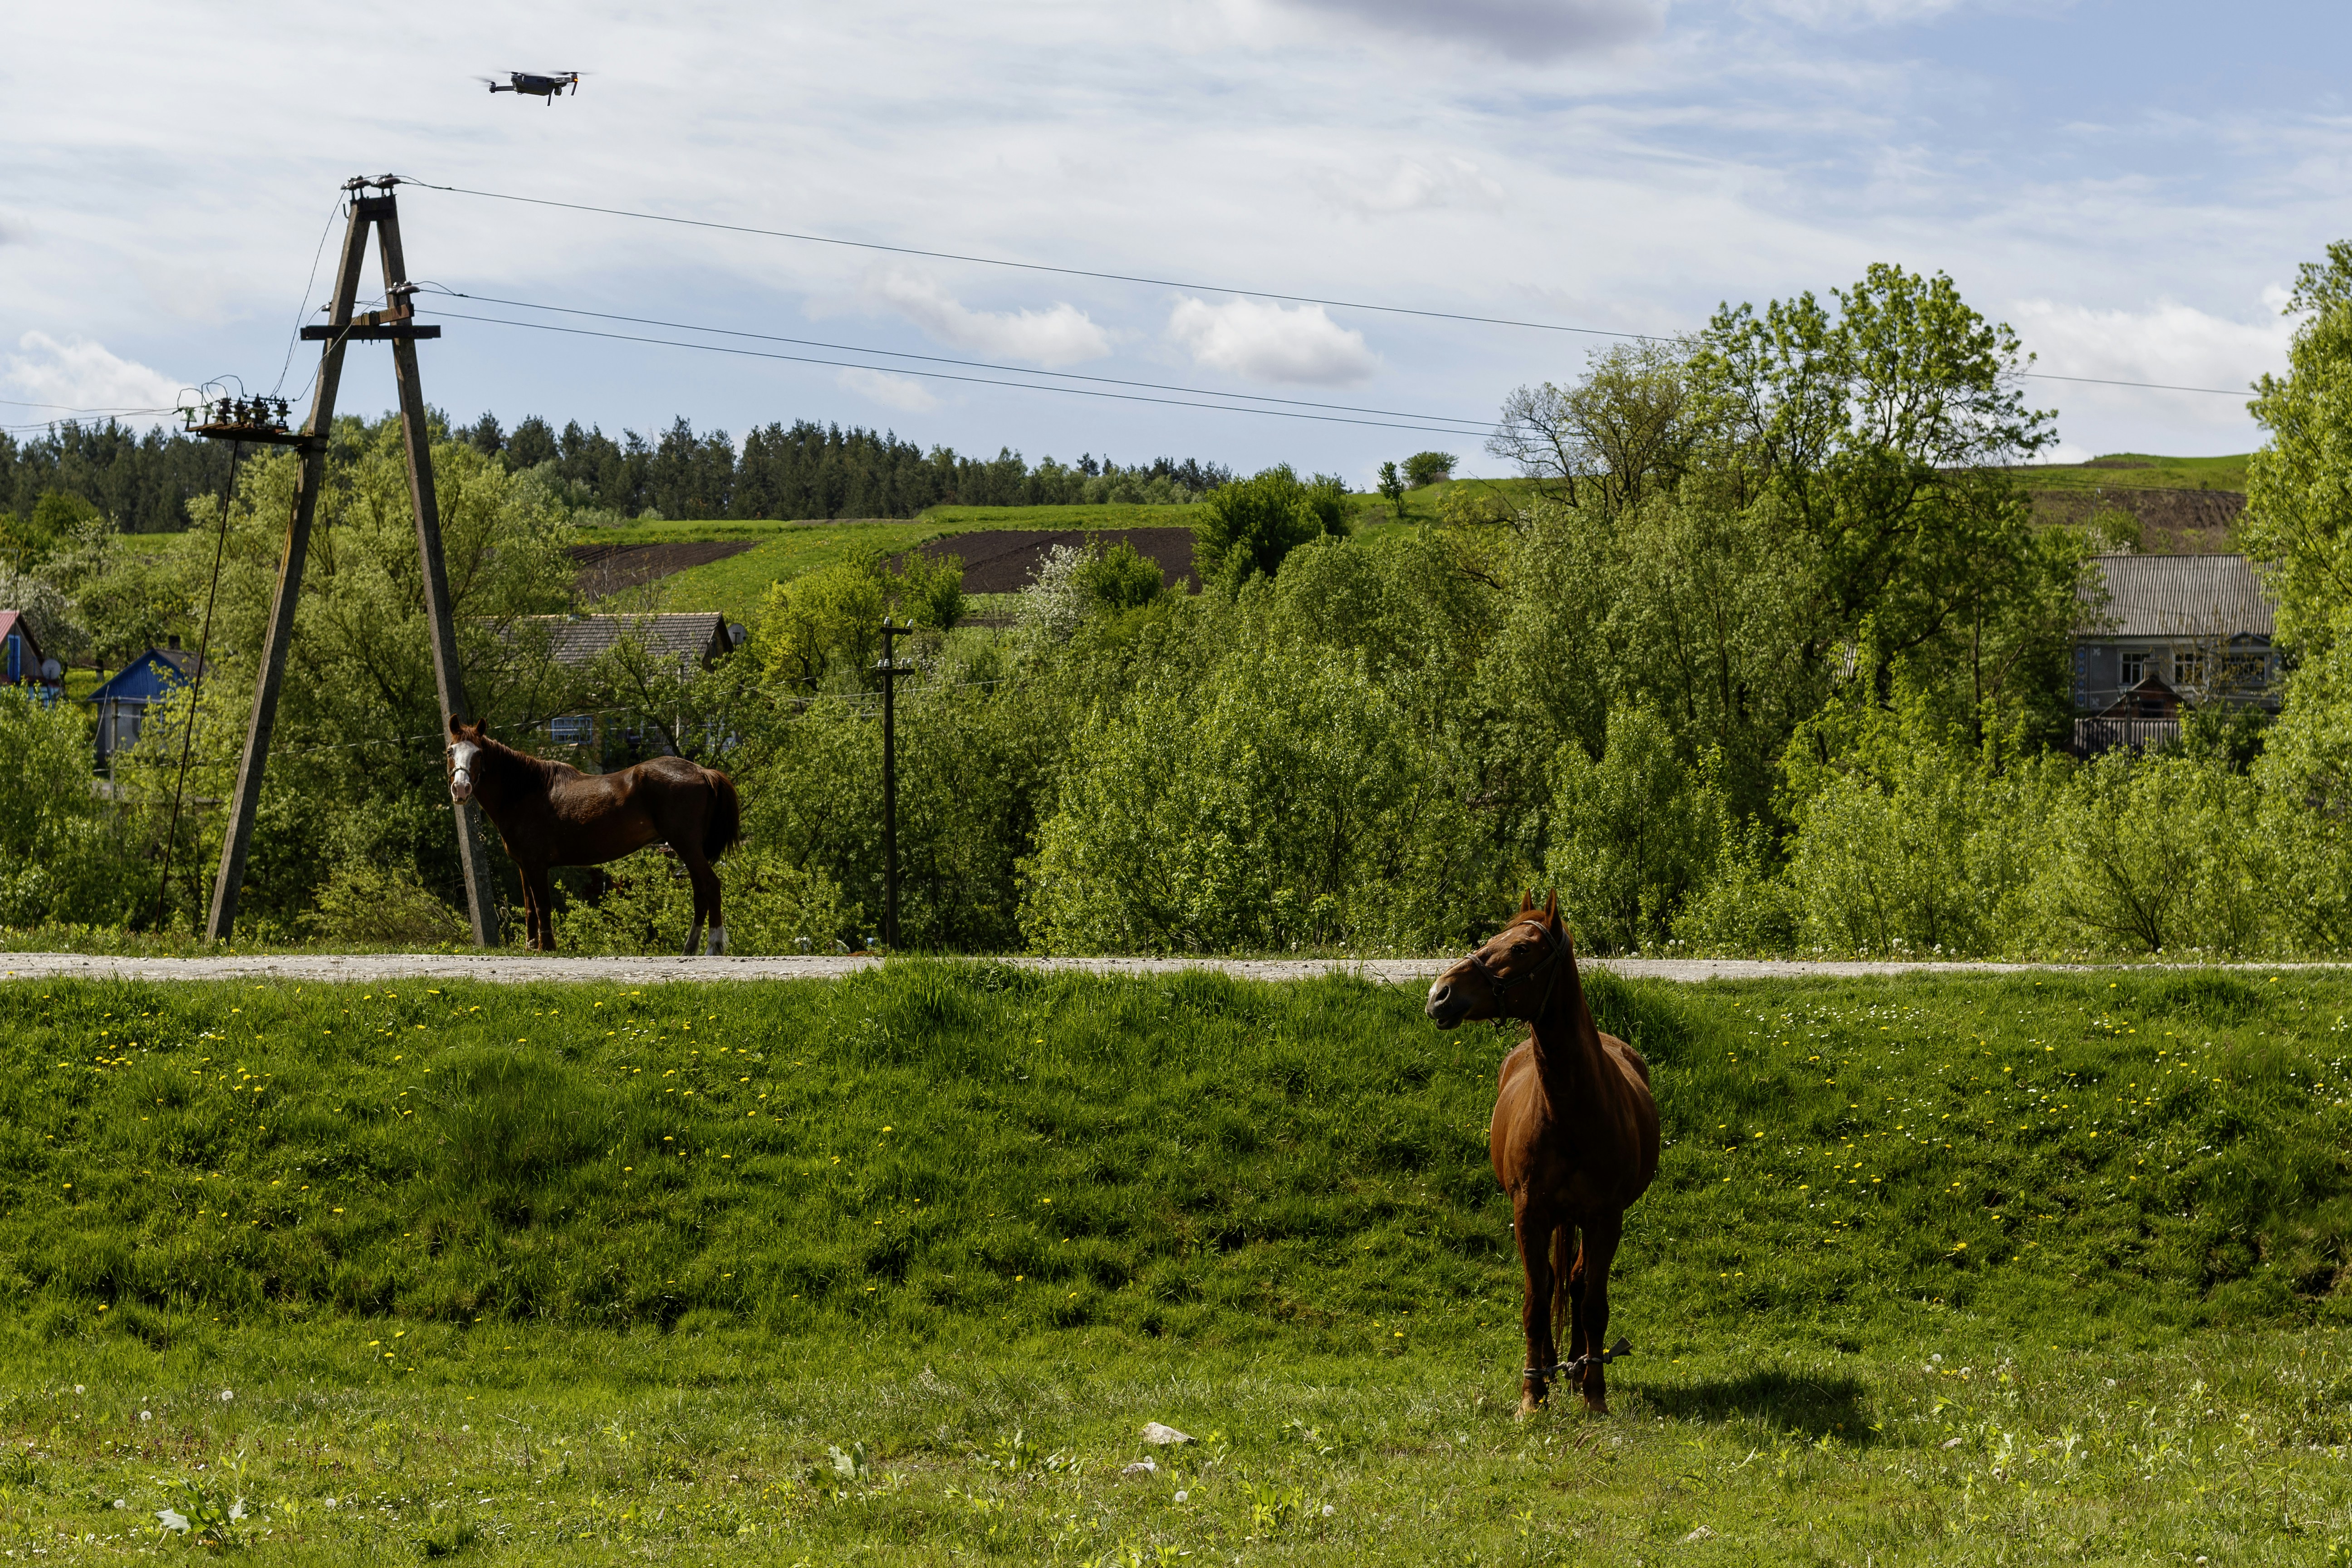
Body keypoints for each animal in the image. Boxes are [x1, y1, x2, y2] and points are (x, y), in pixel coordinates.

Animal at [444, 716, 742, 955]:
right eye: (450, 751)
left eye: (479, 753)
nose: (461, 789)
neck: (526, 791)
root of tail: (702, 771)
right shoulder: (523, 866)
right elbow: (530, 908)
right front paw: (531, 947)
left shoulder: (536, 865)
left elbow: (542, 907)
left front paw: (547, 947)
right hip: (688, 849)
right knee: (700, 894)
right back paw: (689, 949)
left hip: (686, 845)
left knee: (711, 886)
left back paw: (713, 946)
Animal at [1425, 892, 1659, 1416]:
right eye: (1492, 939)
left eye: (1522, 949)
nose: (1440, 994)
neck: (1572, 1109)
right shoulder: (1529, 1213)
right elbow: (1536, 1300)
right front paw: (1532, 1395)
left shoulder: (1606, 1217)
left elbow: (1592, 1303)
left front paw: (1594, 1393)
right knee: (1554, 1281)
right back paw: (1552, 1369)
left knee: (1575, 1283)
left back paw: (1576, 1369)